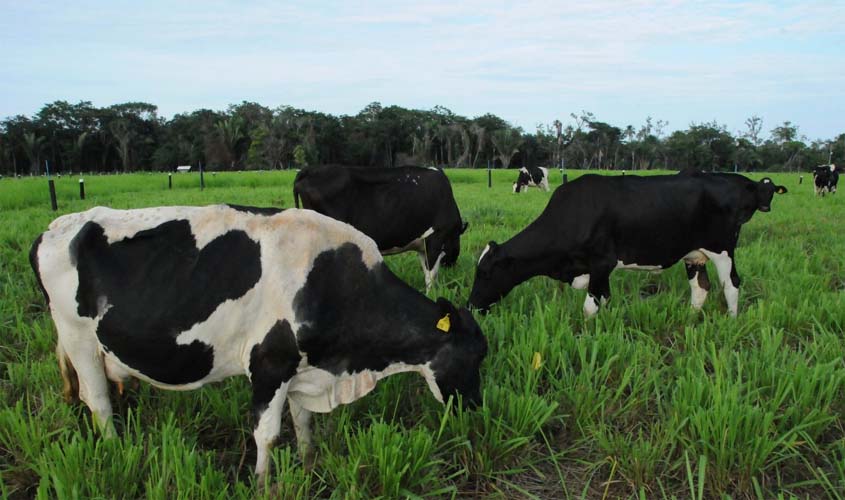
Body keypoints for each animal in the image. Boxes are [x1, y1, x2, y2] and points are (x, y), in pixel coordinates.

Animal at [31, 204, 488, 476]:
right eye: (473, 358)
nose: (476, 410)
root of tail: (57, 226)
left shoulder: (302, 368)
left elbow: (303, 422)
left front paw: (307, 463)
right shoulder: (270, 364)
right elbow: (267, 433)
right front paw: (264, 482)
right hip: (79, 340)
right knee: (98, 402)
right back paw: (113, 451)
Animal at [294, 165, 468, 290]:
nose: (452, 266)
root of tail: (310, 169)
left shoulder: (423, 244)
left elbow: (426, 270)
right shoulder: (436, 237)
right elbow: (431, 274)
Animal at [468, 171, 784, 316]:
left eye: (485, 273)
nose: (470, 306)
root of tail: (742, 181)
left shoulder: (601, 263)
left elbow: (591, 306)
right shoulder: (598, 270)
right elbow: (605, 299)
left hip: (723, 249)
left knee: (731, 284)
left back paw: (731, 319)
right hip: (694, 254)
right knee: (701, 287)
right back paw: (691, 317)